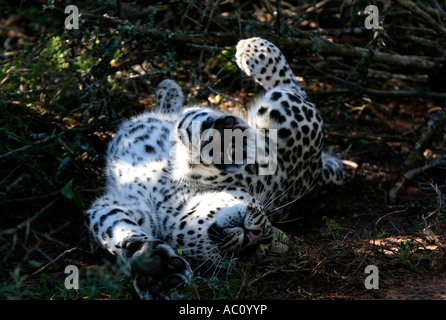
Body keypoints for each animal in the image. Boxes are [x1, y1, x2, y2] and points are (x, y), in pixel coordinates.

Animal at [85, 37, 346, 300]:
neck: (174, 198)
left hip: (285, 114)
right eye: (242, 255)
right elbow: (114, 228)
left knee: (290, 87)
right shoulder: (115, 207)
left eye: (253, 251)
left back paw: (252, 50)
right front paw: (157, 271)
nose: (252, 238)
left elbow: (203, 145)